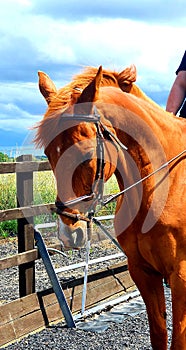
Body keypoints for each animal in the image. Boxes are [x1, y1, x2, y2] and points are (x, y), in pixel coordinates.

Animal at [35, 65, 186, 348]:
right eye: (49, 153)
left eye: (85, 154)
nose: (68, 233)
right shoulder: (143, 272)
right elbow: (159, 333)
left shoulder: (181, 276)